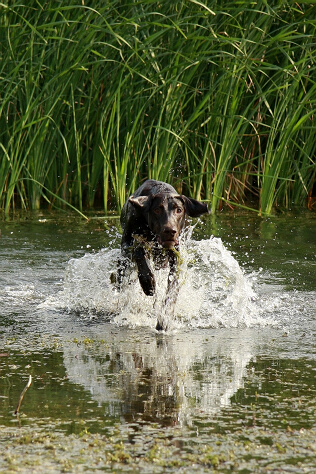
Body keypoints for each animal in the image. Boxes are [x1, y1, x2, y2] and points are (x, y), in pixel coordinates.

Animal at [115, 178, 209, 330]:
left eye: (179, 210)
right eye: (157, 209)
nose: (170, 231)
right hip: (123, 267)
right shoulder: (127, 243)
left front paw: (165, 318)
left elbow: (172, 289)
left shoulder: (176, 255)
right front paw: (148, 283)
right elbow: (138, 252)